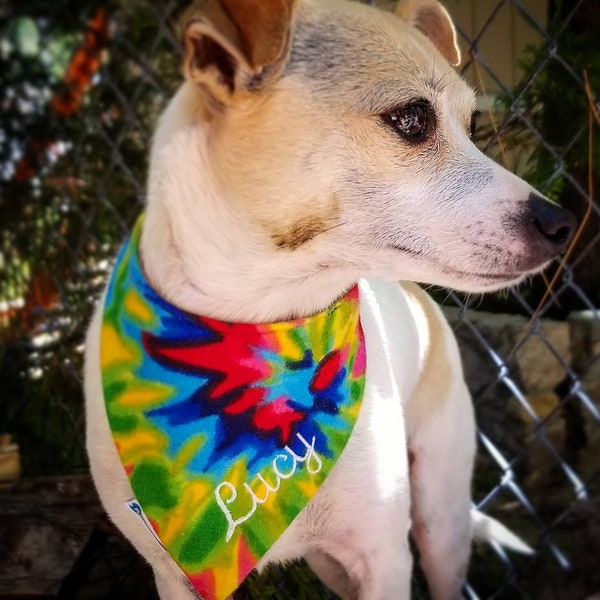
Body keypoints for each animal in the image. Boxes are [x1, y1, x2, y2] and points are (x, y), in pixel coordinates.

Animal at [84, 0, 576, 596]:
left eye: (473, 125)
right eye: (411, 119)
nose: (562, 224)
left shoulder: (386, 560)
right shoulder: (176, 577)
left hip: (440, 525)